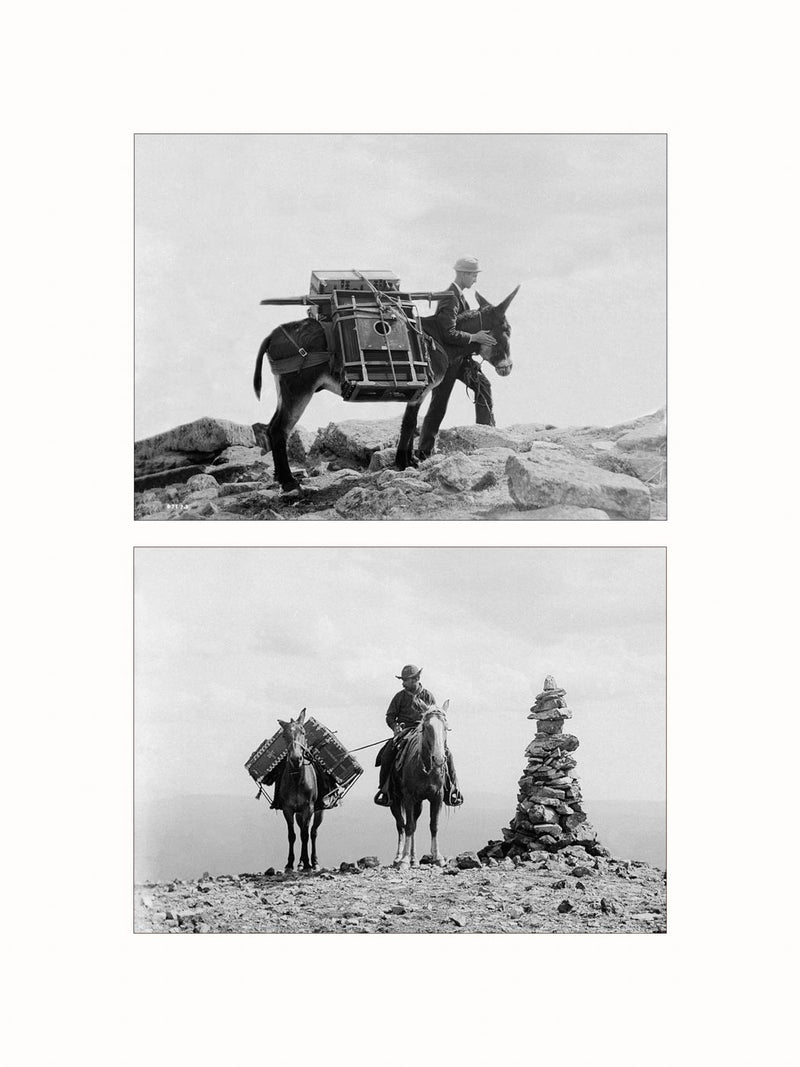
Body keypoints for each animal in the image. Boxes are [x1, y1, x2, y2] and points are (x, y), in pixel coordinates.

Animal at [253, 290, 522, 492]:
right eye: (507, 330)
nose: (508, 368)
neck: (440, 338)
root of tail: (273, 335)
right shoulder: (423, 390)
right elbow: (410, 423)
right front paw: (404, 462)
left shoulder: (417, 391)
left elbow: (409, 423)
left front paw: (407, 460)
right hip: (299, 389)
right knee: (279, 430)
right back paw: (289, 482)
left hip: (285, 390)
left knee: (272, 426)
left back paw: (281, 478)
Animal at [275, 708, 324, 874]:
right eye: (284, 736)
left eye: (303, 732)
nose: (296, 759)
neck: (297, 779)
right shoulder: (288, 809)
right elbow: (292, 835)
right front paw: (290, 863)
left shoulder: (308, 808)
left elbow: (305, 835)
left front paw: (308, 863)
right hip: (298, 813)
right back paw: (301, 863)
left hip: (318, 811)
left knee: (313, 833)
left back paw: (313, 861)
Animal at [390, 699, 454, 866]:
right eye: (426, 727)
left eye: (446, 727)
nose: (439, 758)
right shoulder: (408, 797)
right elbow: (409, 826)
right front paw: (404, 860)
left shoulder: (437, 797)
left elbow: (434, 825)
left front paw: (438, 857)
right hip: (395, 801)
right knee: (401, 825)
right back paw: (399, 857)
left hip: (418, 803)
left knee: (413, 823)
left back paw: (414, 859)